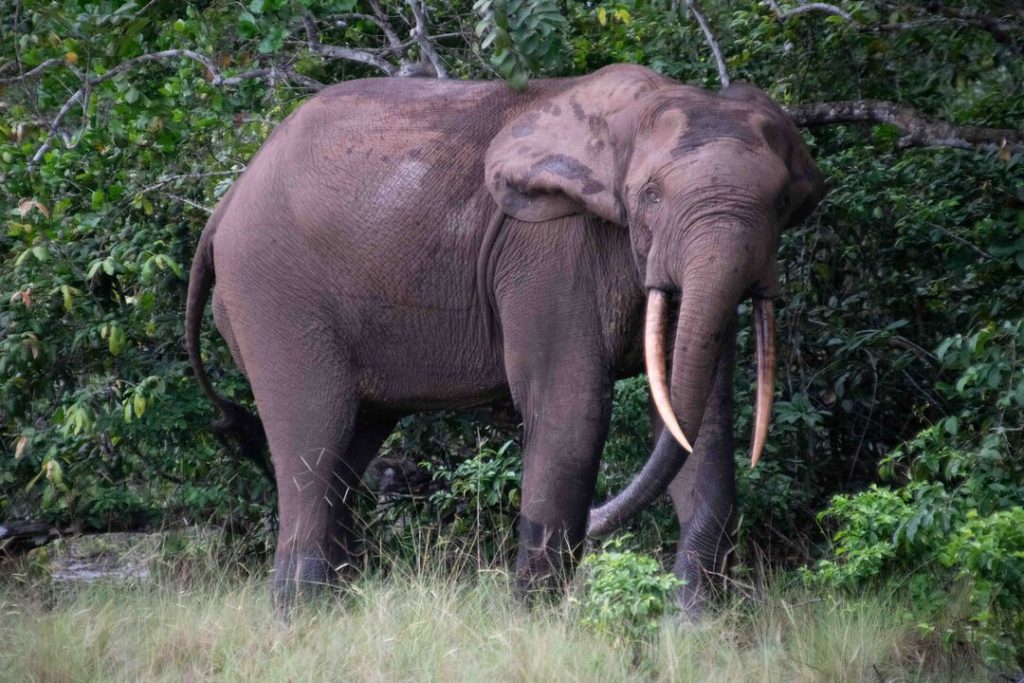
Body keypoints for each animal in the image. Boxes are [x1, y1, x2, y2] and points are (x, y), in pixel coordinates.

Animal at [184, 63, 823, 614]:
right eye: (651, 197)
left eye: (781, 203)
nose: (600, 522)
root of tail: (225, 204)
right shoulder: (548, 248)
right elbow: (573, 410)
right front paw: (536, 625)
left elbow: (703, 423)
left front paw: (692, 627)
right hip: (274, 296)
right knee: (315, 437)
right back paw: (303, 616)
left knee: (351, 443)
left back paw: (337, 611)